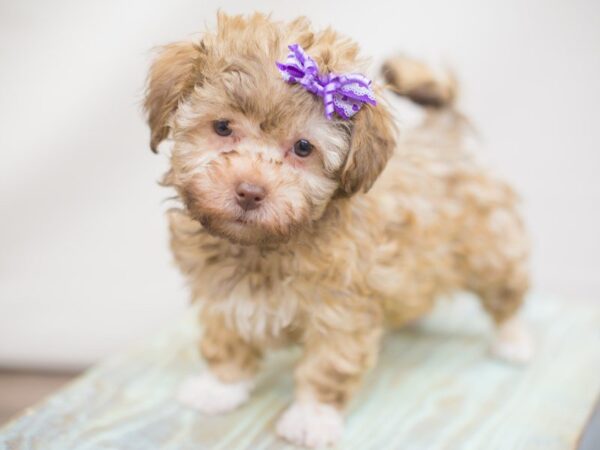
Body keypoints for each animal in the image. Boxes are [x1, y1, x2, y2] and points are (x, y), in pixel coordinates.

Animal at [143, 12, 532, 448]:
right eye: (223, 127)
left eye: (303, 148)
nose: (249, 191)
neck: (266, 245)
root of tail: (445, 135)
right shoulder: (222, 294)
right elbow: (227, 340)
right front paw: (220, 387)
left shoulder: (341, 312)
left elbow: (326, 366)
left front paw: (311, 417)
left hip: (491, 247)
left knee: (506, 292)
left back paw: (514, 340)